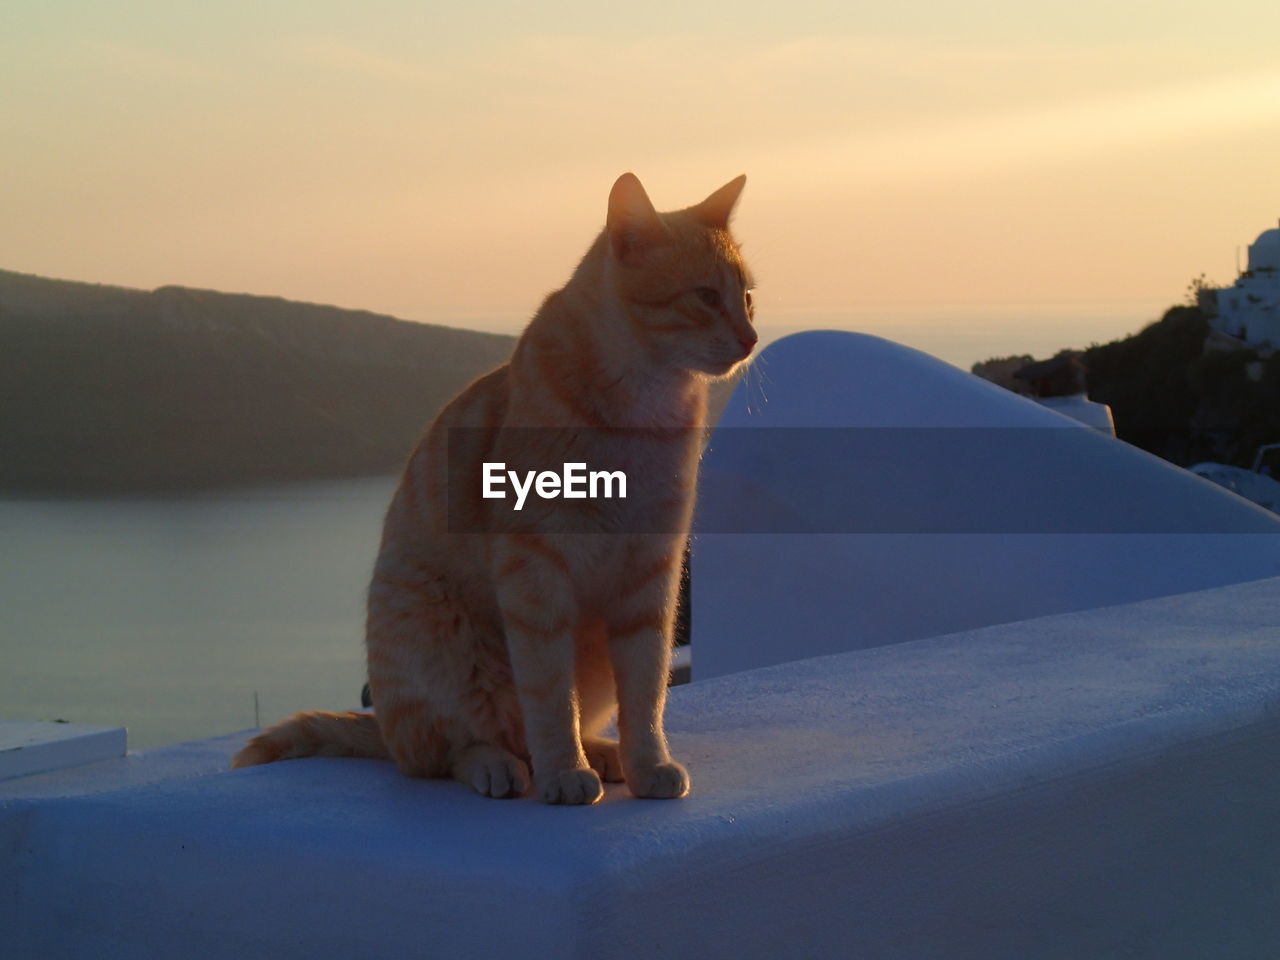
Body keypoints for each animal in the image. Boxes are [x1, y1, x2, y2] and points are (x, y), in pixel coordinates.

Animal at [234, 172, 752, 803]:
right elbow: (548, 697)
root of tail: (385, 731)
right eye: (705, 297)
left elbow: (646, 690)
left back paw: (602, 752)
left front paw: (647, 763)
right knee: (446, 750)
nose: (751, 337)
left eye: (747, 297)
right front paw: (564, 771)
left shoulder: (650, 576)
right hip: (432, 634)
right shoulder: (535, 575)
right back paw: (501, 765)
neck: (643, 412)